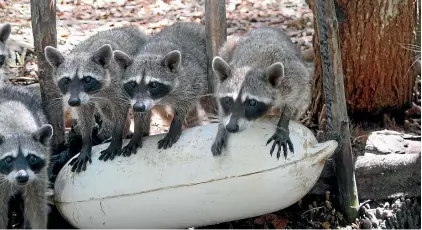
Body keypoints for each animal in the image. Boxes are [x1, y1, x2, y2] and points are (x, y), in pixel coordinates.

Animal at [0, 84, 53, 228]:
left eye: (32, 158)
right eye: (8, 159)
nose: (22, 177)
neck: (15, 130)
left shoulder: (39, 175)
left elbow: (37, 207)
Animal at [44, 25, 148, 172]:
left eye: (88, 79)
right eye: (66, 80)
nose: (73, 102)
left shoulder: (118, 85)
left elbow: (120, 109)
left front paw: (116, 137)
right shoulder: (83, 99)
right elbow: (84, 116)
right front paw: (86, 144)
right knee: (107, 112)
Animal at [114, 22, 209, 155]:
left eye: (154, 85)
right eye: (132, 84)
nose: (138, 107)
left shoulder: (189, 79)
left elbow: (186, 102)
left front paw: (175, 125)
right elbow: (141, 115)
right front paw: (137, 132)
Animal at [211, 27, 314, 159]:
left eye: (252, 102)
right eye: (228, 100)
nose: (231, 127)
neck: (252, 66)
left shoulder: (293, 78)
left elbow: (295, 97)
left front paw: (283, 125)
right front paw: (221, 127)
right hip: (229, 48)